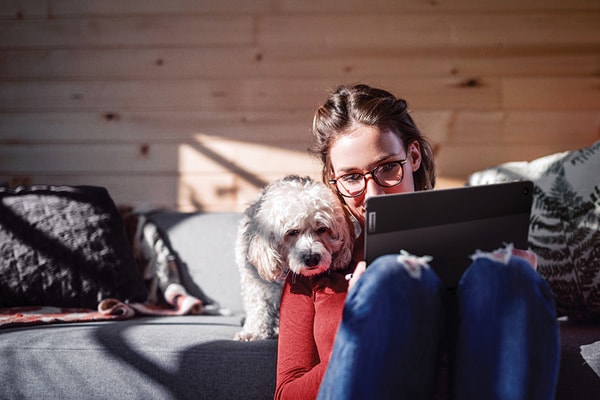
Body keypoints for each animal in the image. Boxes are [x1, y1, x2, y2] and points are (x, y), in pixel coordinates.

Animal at [233, 175, 356, 340]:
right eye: (292, 232)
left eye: (322, 229)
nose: (312, 258)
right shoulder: (256, 284)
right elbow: (258, 307)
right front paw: (253, 332)